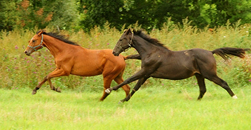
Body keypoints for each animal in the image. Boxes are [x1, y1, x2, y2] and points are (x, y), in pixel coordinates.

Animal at [104, 29, 249, 102]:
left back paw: (234, 97)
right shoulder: (146, 74)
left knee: (223, 83)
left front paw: (109, 90)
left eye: (121, 39)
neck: (151, 52)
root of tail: (210, 52)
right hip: (199, 75)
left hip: (209, 74)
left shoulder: (145, 71)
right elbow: (136, 87)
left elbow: (128, 81)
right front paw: (124, 100)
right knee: (203, 89)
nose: (114, 52)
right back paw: (195, 101)